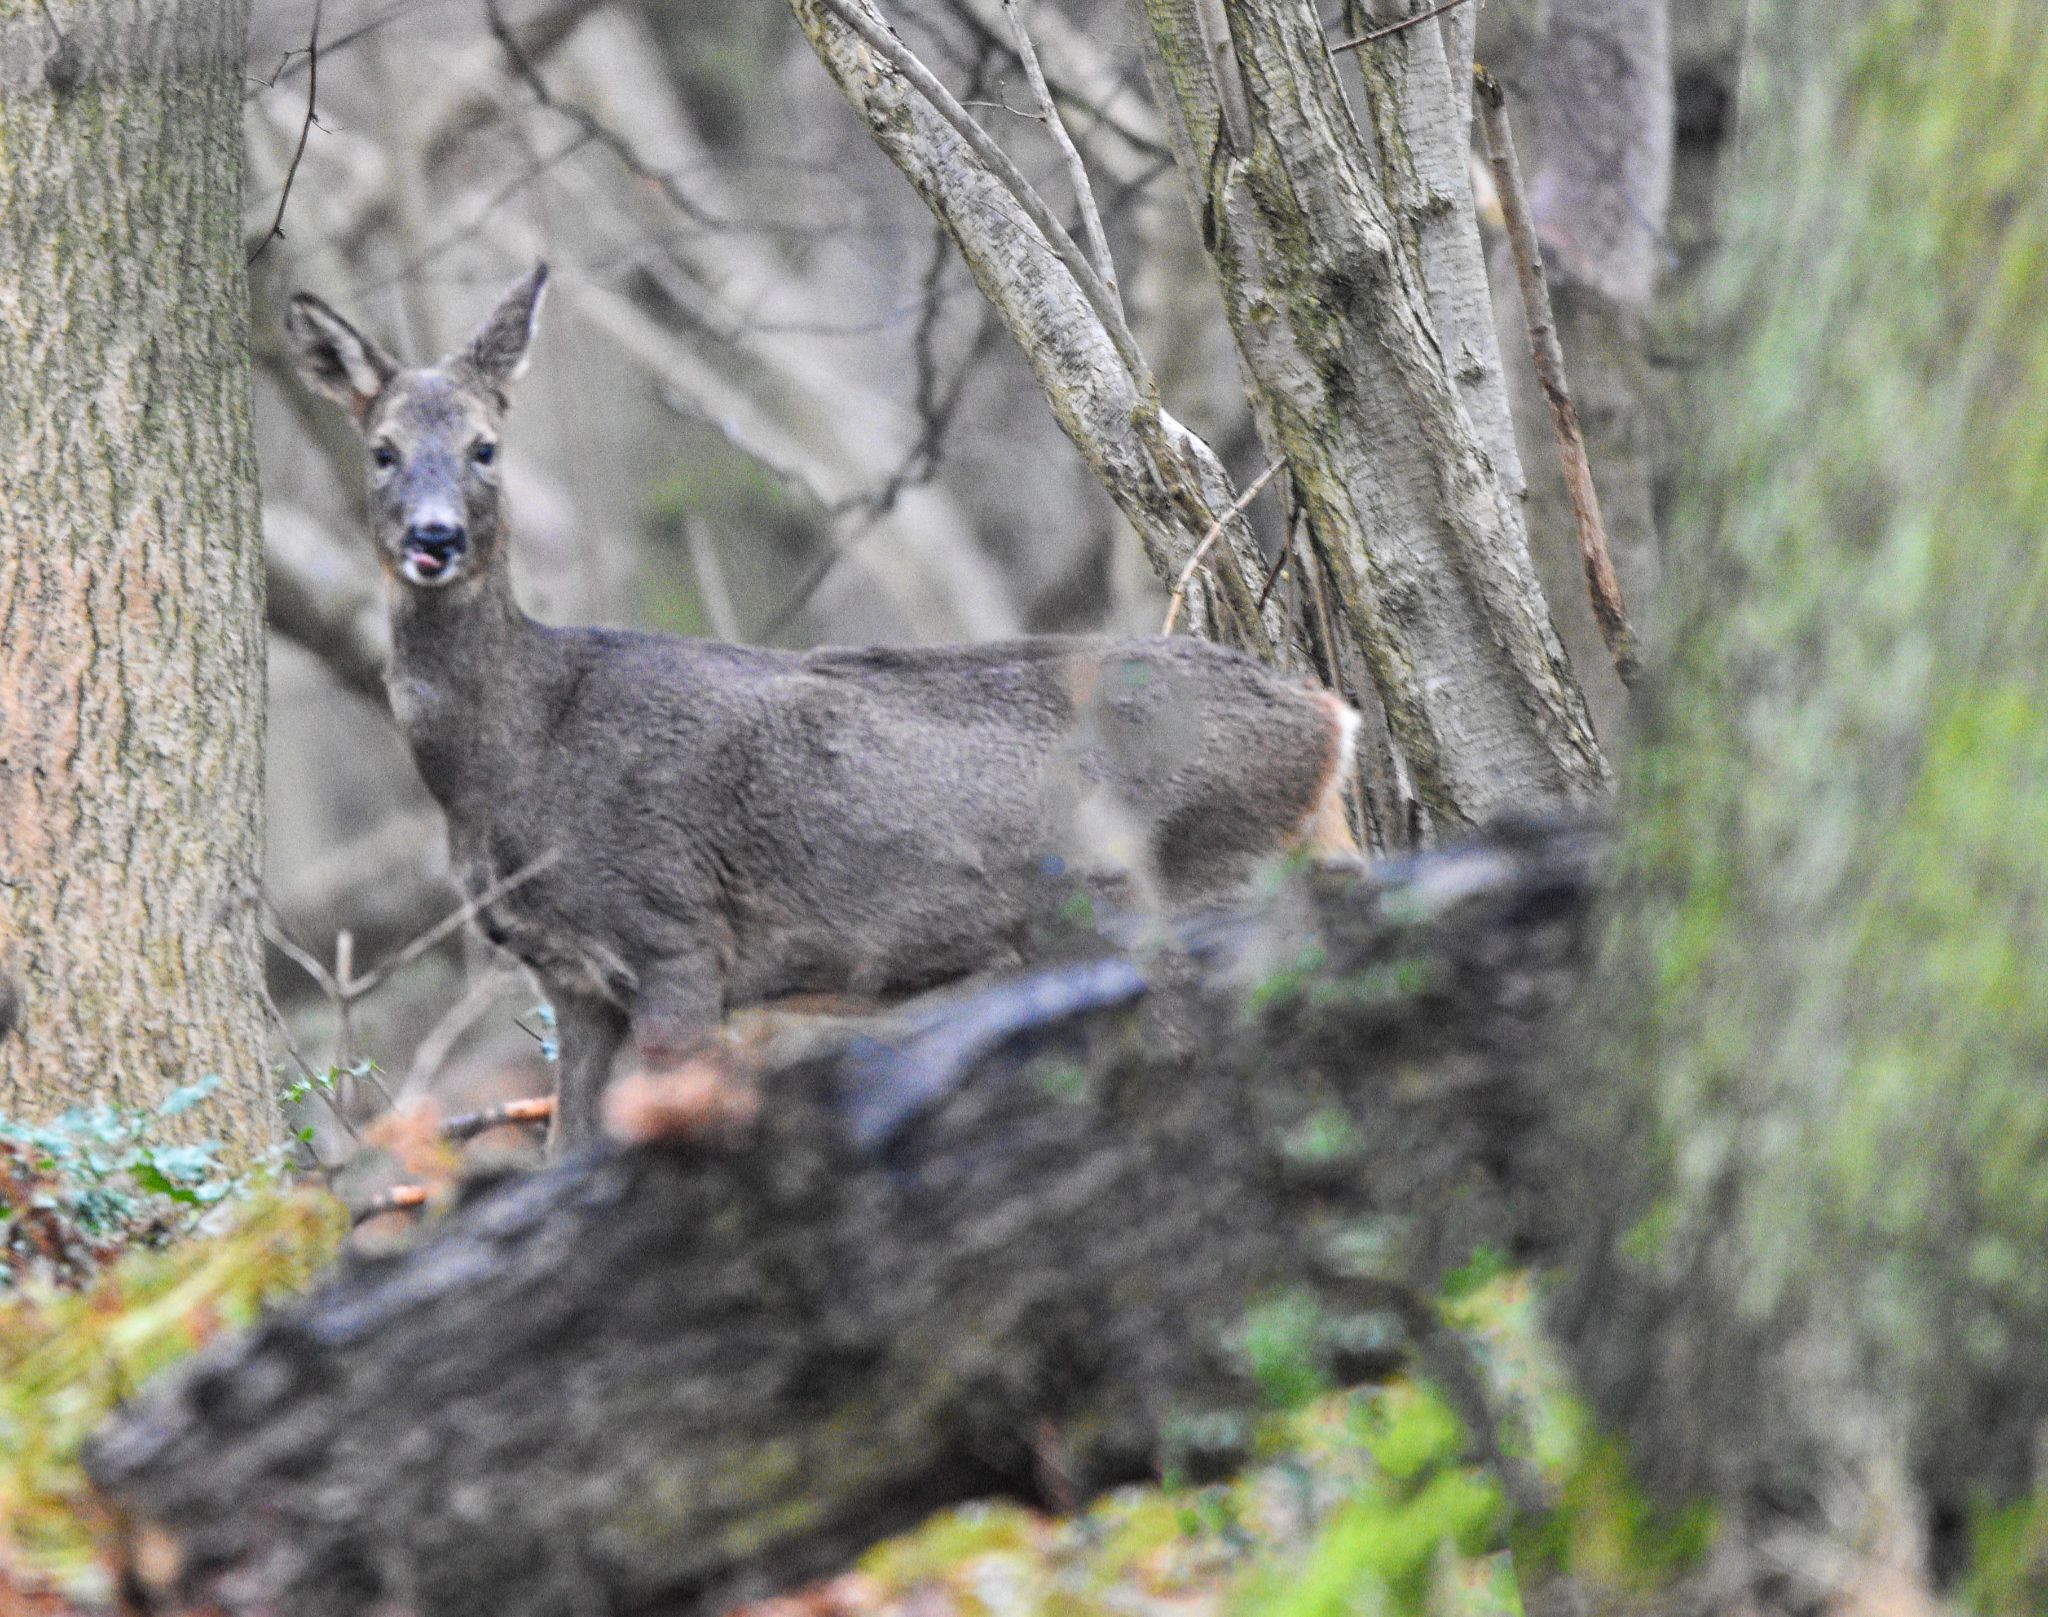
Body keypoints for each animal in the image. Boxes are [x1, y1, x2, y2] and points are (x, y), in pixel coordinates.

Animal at [280, 266, 1351, 1154]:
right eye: (381, 451)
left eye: (485, 447)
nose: (433, 539)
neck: (520, 750)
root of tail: (1331, 718)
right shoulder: (572, 981)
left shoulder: (676, 929)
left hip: (1196, 882)